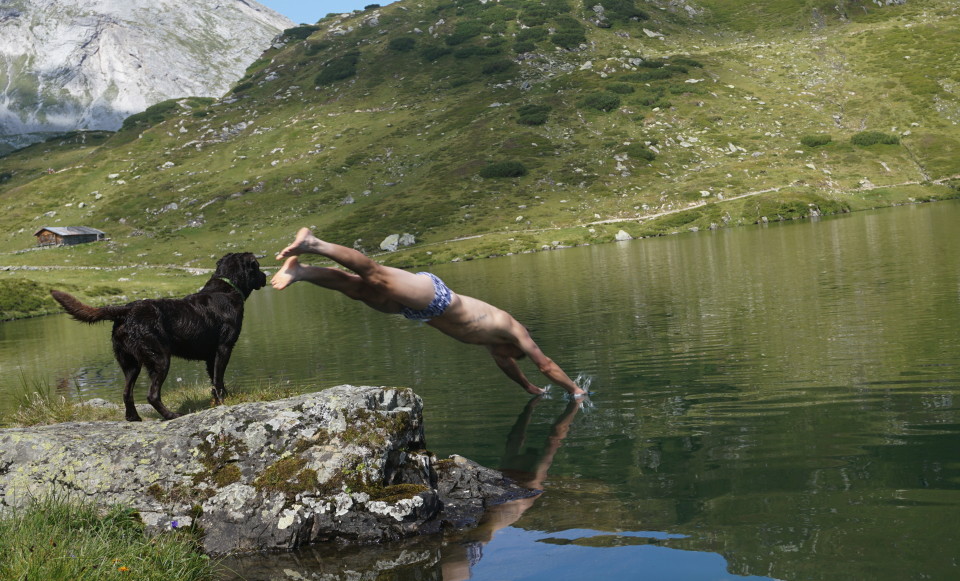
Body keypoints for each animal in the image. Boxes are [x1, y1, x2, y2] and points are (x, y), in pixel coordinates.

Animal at [54, 251, 268, 420]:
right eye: (258, 267)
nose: (266, 276)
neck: (227, 287)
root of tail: (127, 309)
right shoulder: (224, 348)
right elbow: (218, 379)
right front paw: (224, 402)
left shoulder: (210, 356)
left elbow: (215, 381)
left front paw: (218, 401)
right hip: (160, 358)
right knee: (152, 395)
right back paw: (171, 415)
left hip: (130, 363)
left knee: (126, 393)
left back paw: (133, 418)